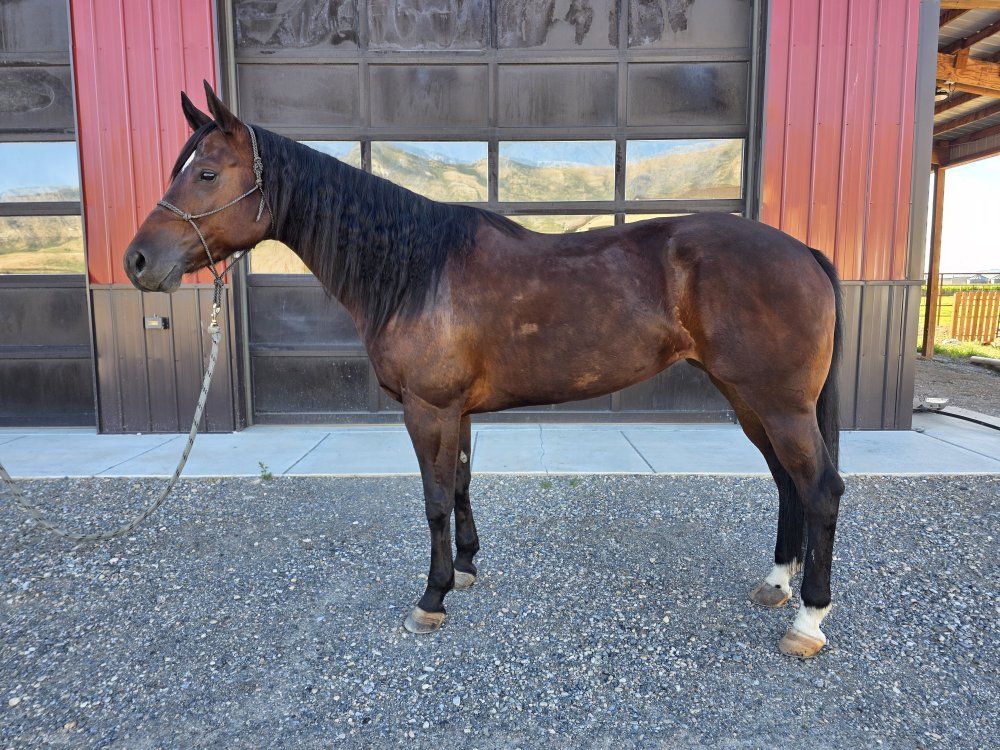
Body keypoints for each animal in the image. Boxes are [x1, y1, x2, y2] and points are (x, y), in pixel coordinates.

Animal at [124, 83, 845, 658]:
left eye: (207, 173)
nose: (137, 262)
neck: (416, 271)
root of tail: (803, 251)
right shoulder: (459, 412)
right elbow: (463, 486)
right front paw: (467, 569)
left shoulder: (427, 409)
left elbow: (435, 499)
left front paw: (432, 597)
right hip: (748, 399)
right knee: (787, 483)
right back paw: (775, 585)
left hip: (777, 403)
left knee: (820, 490)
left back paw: (808, 620)